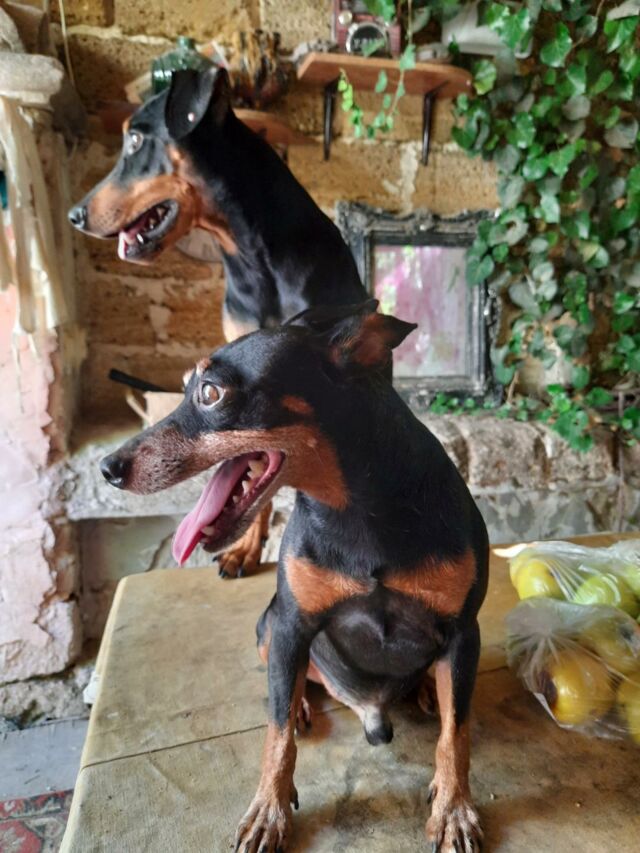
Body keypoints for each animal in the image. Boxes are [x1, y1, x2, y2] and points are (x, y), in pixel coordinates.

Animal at [100, 300, 488, 852]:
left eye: (210, 392)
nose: (107, 467)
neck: (355, 510)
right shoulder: (290, 624)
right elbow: (276, 734)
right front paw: (269, 811)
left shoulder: (462, 633)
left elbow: (456, 734)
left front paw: (454, 810)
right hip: (267, 627)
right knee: (286, 687)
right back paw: (304, 699)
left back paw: (429, 690)